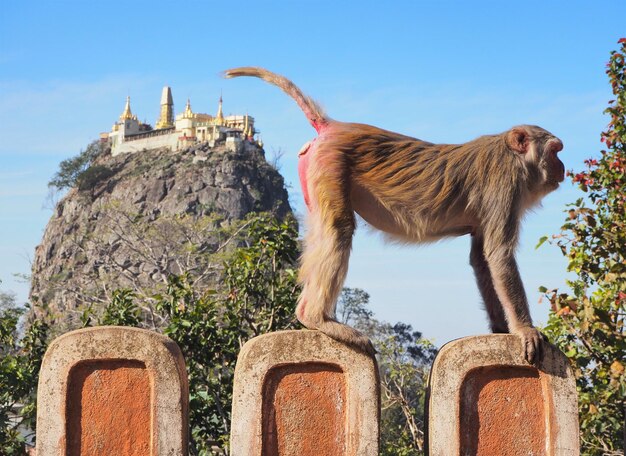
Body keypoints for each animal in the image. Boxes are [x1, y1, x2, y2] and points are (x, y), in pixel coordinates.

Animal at [222, 67, 564, 364]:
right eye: (555, 151)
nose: (563, 167)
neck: (511, 157)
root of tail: (332, 126)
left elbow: (482, 259)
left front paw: (501, 327)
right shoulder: (505, 187)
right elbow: (500, 255)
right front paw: (525, 330)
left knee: (323, 232)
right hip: (331, 165)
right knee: (339, 230)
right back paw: (317, 318)